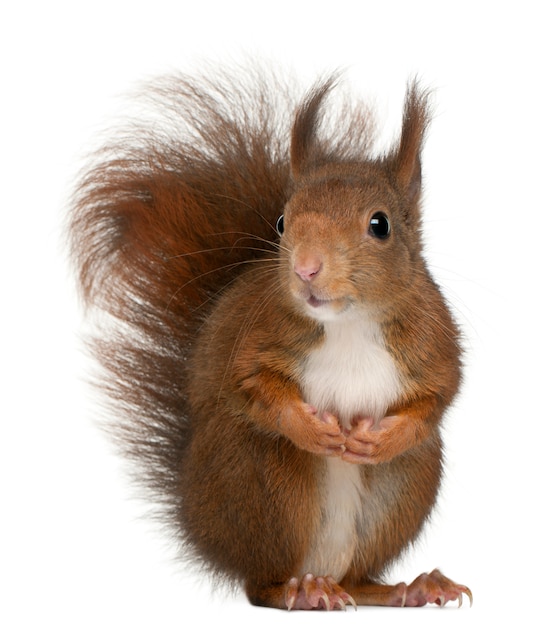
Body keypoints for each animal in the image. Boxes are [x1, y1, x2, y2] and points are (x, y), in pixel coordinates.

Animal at [70, 66, 474, 608]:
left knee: (359, 577)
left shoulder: (433, 340)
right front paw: (310, 428)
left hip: (405, 484)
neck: (347, 324)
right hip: (265, 483)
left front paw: (386, 436)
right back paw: (301, 591)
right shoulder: (255, 337)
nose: (306, 268)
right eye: (282, 222)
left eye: (380, 225)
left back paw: (410, 587)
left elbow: (439, 395)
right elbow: (250, 385)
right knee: (259, 584)